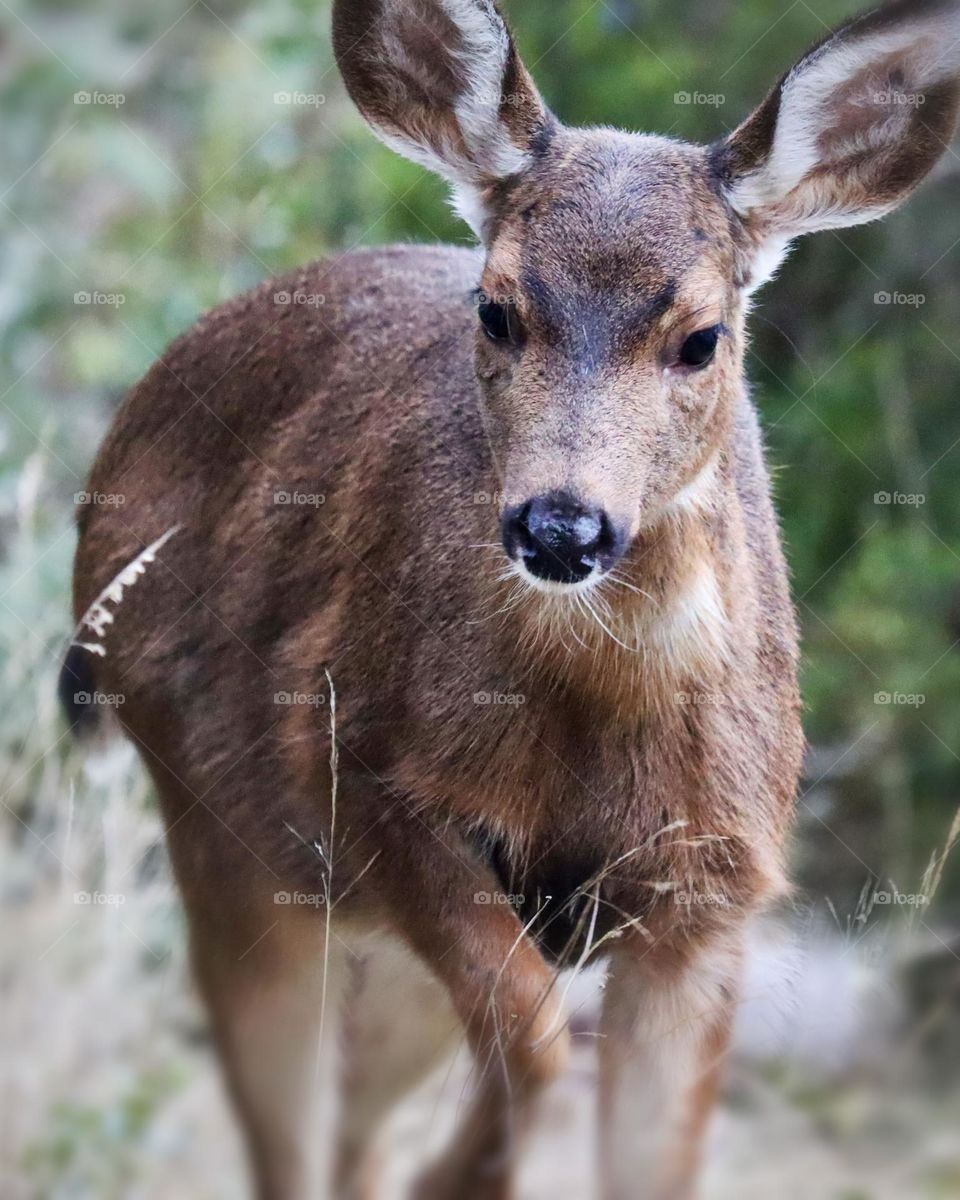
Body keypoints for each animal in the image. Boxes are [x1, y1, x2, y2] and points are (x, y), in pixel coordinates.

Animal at [61, 0, 960, 1195]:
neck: (600, 733)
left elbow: (649, 1146)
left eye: (702, 337)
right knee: (293, 1125)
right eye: (496, 310)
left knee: (355, 1124)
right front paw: (464, 1176)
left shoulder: (714, 889)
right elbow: (533, 1033)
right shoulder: (367, 776)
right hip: (232, 843)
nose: (560, 525)